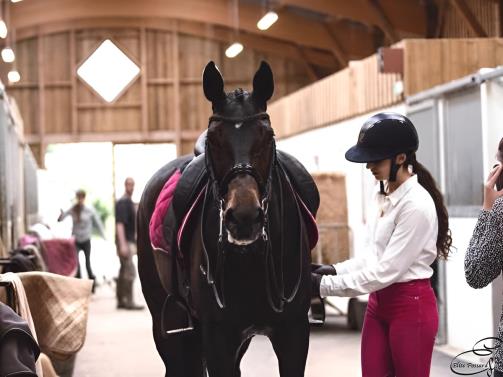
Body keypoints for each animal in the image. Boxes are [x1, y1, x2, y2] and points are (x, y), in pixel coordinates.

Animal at [137, 60, 318, 374]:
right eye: (214, 139)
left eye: (268, 136)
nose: (244, 218)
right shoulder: (218, 337)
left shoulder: (294, 334)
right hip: (166, 323)